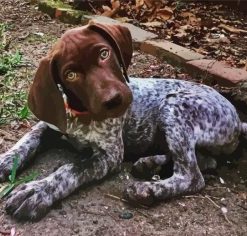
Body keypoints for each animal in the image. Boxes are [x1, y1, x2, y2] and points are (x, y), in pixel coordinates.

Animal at [0, 22, 247, 221]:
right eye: (70, 74)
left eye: (104, 54)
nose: (115, 100)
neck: (82, 114)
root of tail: (237, 119)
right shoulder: (49, 124)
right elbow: (28, 139)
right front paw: (6, 160)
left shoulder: (110, 156)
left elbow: (71, 169)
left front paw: (39, 191)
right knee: (205, 162)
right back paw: (150, 164)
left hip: (174, 106)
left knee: (192, 176)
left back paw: (147, 189)